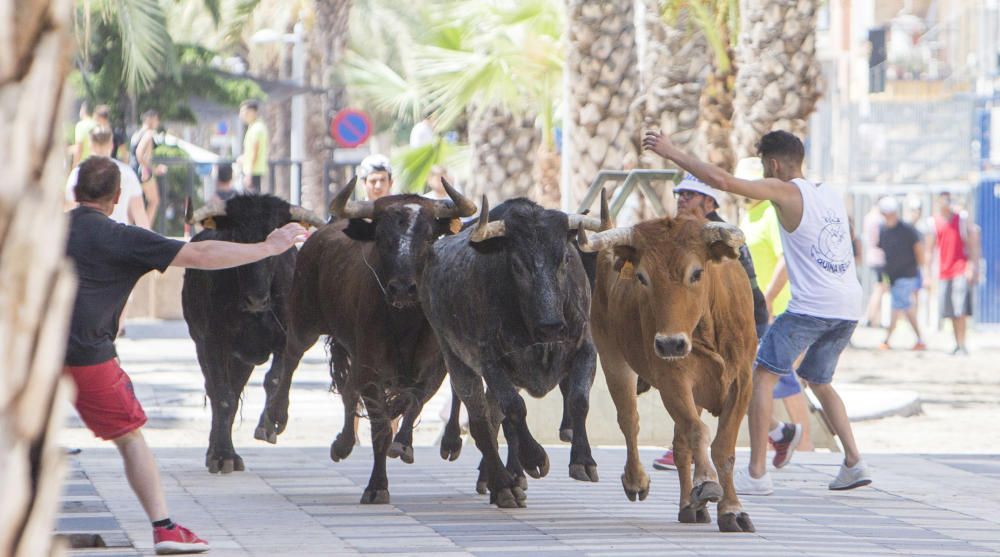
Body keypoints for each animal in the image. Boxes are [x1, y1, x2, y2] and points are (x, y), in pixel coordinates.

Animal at [258, 177, 476, 504]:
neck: (404, 321)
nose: (403, 288)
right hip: (304, 321)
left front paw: (404, 443)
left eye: (428, 237)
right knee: (292, 359)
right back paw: (276, 417)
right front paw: (377, 486)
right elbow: (380, 428)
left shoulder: (431, 370)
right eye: (382, 237)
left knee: (350, 389)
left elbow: (413, 403)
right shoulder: (370, 369)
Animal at [420, 198, 604, 506]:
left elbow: (579, 400)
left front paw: (583, 460)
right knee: (481, 423)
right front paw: (534, 458)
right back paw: (502, 483)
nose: (552, 326)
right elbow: (515, 411)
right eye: (517, 264)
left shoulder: (586, 349)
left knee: (491, 419)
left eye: (564, 259)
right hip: (457, 361)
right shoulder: (491, 363)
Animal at [580, 210, 756, 536]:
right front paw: (707, 482)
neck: (706, 326)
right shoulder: (673, 380)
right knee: (630, 420)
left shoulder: (742, 382)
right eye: (642, 277)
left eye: (696, 273)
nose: (670, 343)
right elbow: (699, 432)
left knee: (679, 443)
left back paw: (690, 505)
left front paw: (732, 510)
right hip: (613, 359)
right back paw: (638, 481)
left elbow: (723, 448)